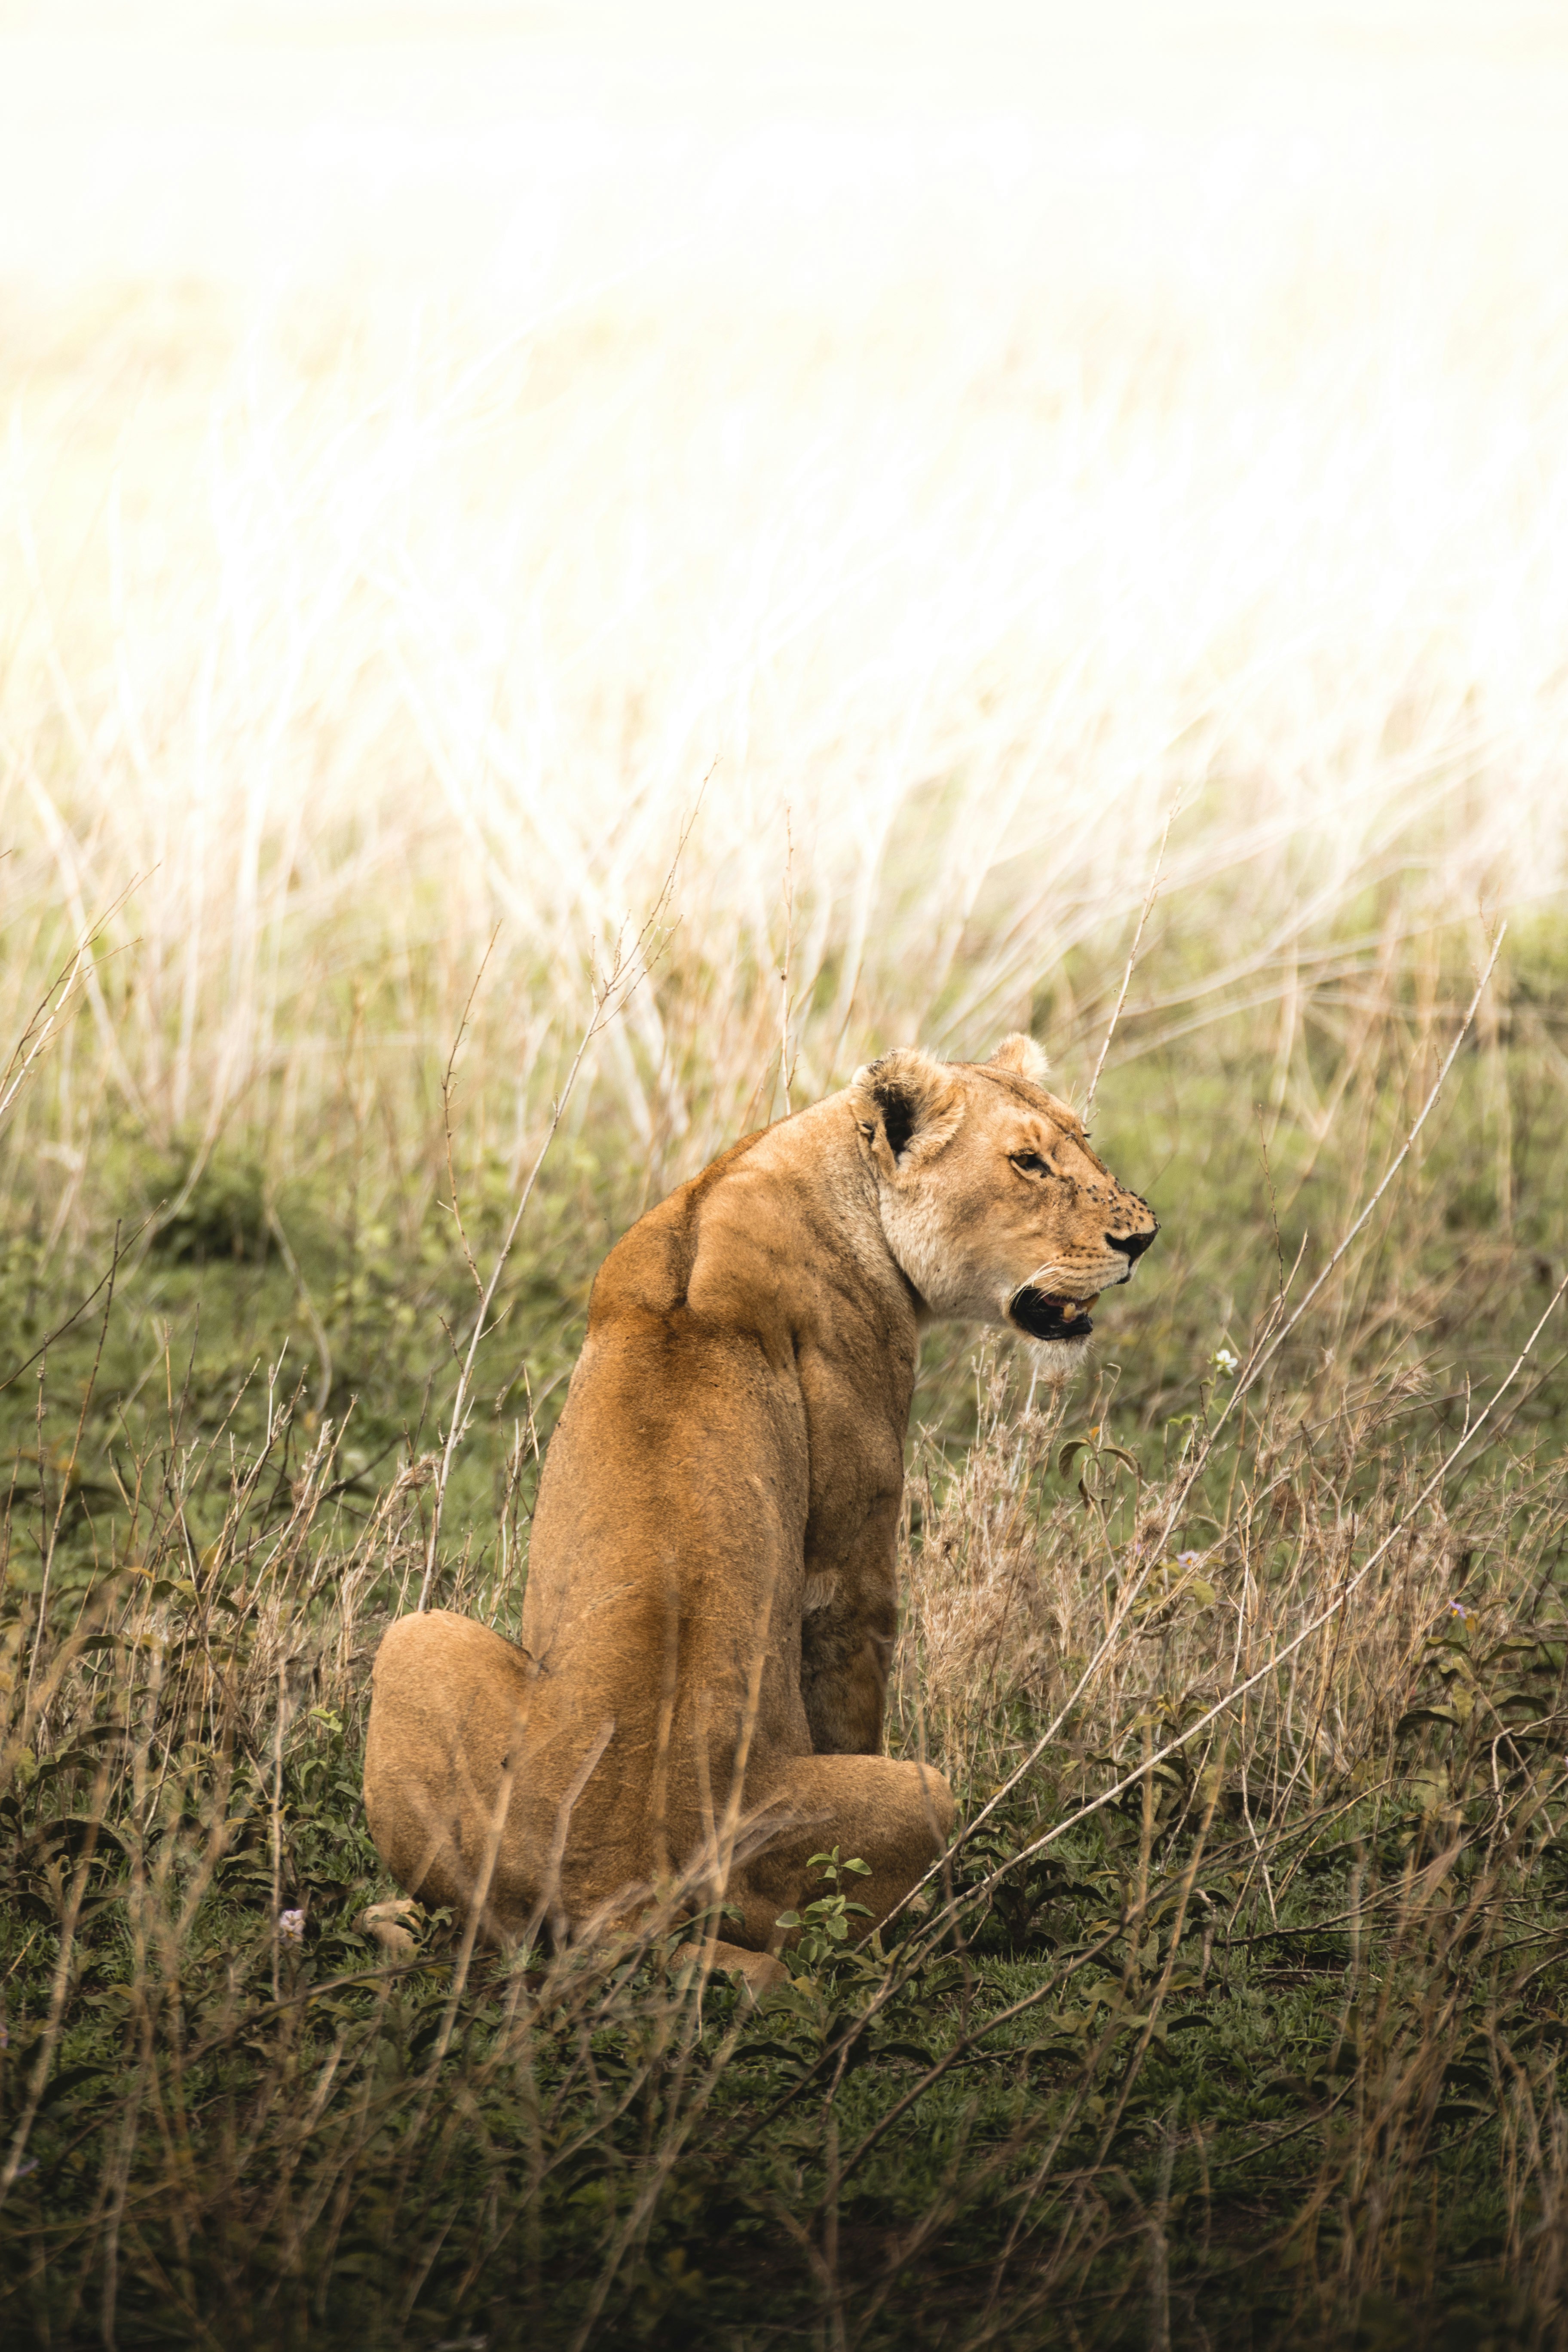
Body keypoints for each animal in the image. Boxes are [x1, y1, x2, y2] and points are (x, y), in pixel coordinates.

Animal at [362, 1034, 1157, 1989]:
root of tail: (617, 1891)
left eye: (1082, 1141)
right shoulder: (851, 1550)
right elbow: (851, 1661)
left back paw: (395, 1917)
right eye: (1028, 1162)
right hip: (917, 1792)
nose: (1143, 1238)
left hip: (413, 1640)